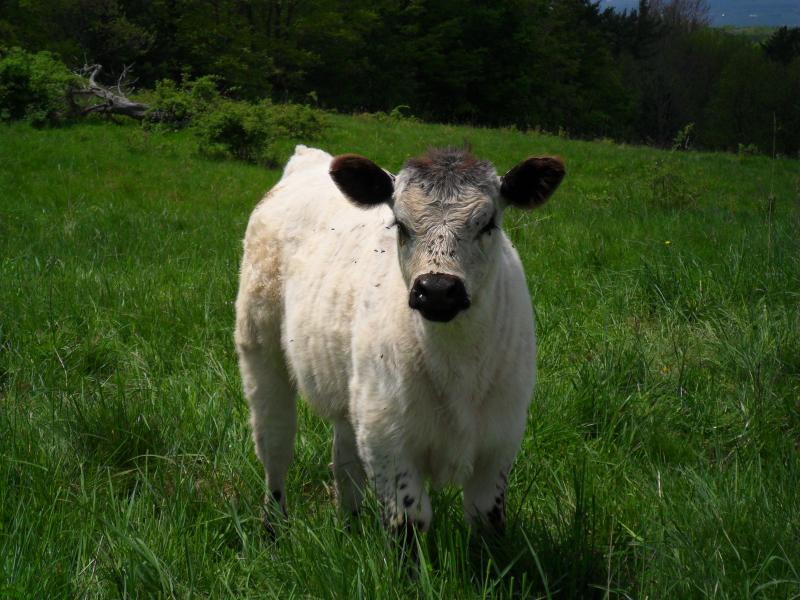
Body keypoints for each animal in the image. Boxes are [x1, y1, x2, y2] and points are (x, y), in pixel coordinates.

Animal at [235, 144, 565, 535]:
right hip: (260, 347)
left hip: (354, 393)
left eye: (487, 224)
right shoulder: (387, 439)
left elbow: (487, 518)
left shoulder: (501, 437)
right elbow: (408, 520)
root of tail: (307, 159)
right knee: (275, 446)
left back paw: (350, 527)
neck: (455, 362)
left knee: (345, 461)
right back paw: (273, 529)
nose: (437, 290)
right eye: (401, 225)